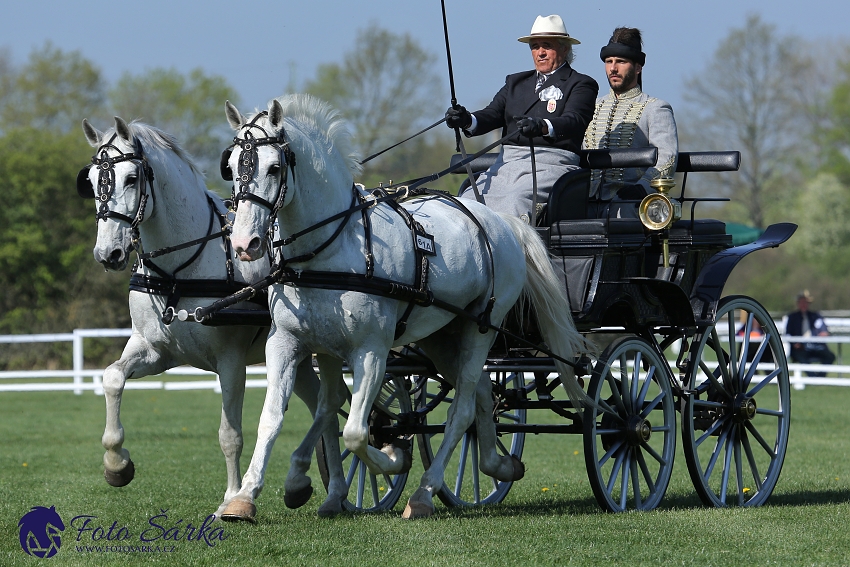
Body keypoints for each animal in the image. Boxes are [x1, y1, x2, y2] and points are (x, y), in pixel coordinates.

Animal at [78, 118, 332, 520]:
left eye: (132, 178)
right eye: (89, 182)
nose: (108, 254)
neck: (179, 272)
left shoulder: (230, 362)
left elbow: (230, 435)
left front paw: (231, 498)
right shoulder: (156, 351)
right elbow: (112, 378)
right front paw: (117, 464)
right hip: (298, 357)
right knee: (325, 405)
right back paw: (306, 482)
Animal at [219, 94, 588, 524]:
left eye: (275, 167)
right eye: (230, 167)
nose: (244, 244)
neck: (332, 247)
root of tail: (505, 221)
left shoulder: (372, 351)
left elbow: (356, 431)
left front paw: (393, 457)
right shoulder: (291, 344)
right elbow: (282, 417)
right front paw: (248, 496)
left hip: (482, 328)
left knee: (461, 408)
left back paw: (425, 493)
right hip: (441, 337)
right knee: (480, 392)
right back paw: (497, 465)